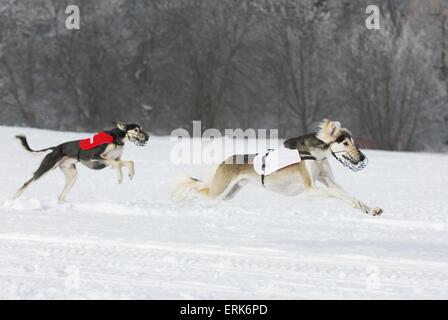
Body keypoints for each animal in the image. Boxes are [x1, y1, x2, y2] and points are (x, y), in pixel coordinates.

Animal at [14, 121, 149, 201]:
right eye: (136, 130)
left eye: (142, 128)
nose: (147, 137)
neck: (116, 138)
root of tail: (55, 148)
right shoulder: (96, 156)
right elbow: (117, 164)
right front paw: (120, 178)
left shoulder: (114, 160)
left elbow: (129, 162)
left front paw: (130, 174)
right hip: (46, 168)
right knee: (27, 183)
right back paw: (14, 199)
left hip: (72, 175)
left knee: (61, 196)